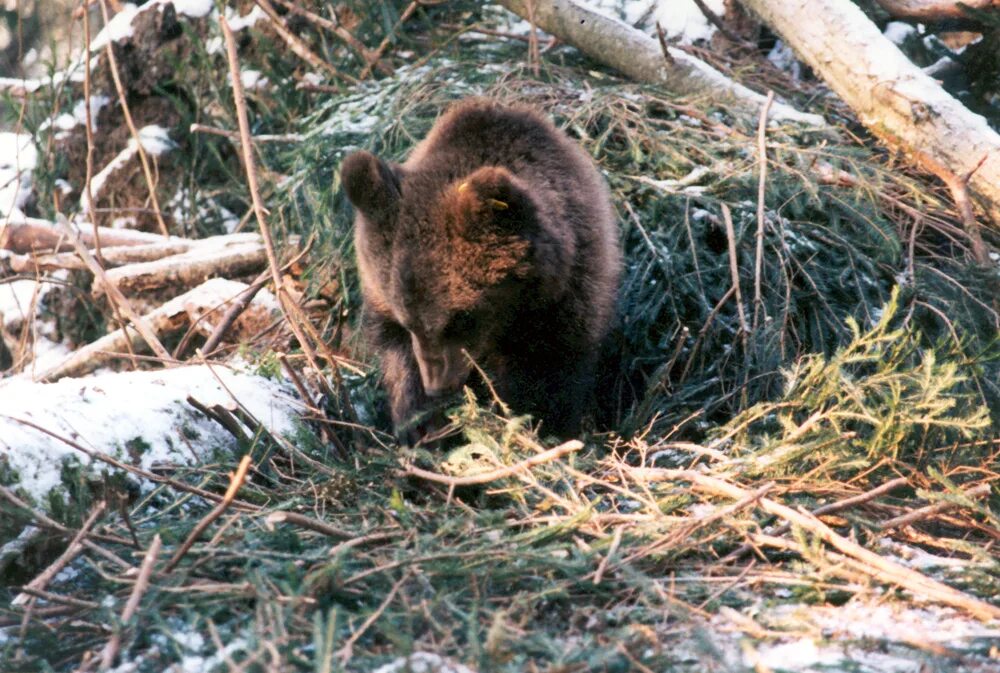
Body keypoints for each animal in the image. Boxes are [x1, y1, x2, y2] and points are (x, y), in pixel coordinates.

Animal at [346, 96, 624, 440]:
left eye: (462, 317)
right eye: (408, 321)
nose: (438, 386)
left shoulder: (563, 303)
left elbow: (547, 378)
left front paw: (536, 427)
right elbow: (400, 363)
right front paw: (422, 426)